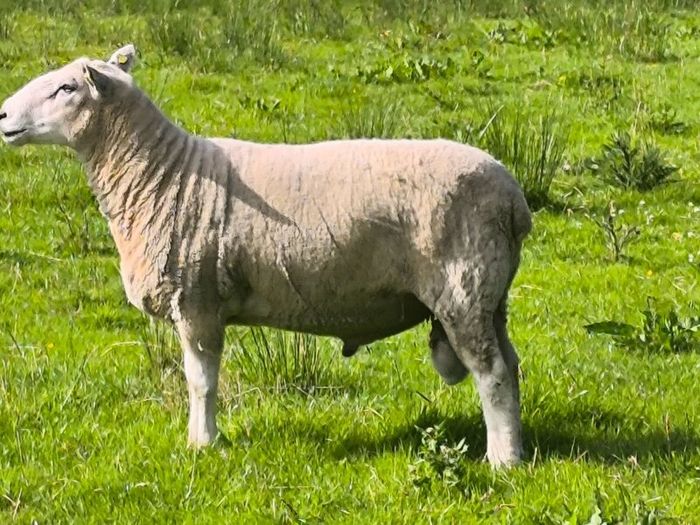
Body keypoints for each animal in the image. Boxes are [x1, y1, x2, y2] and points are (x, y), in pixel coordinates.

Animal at [0, 45, 532, 467]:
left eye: (66, 87)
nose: (3, 115)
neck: (163, 174)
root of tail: (514, 200)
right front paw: (199, 440)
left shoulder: (198, 300)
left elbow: (200, 382)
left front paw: (203, 444)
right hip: (489, 293)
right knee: (511, 364)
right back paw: (517, 448)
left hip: (464, 286)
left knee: (493, 374)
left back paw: (502, 461)